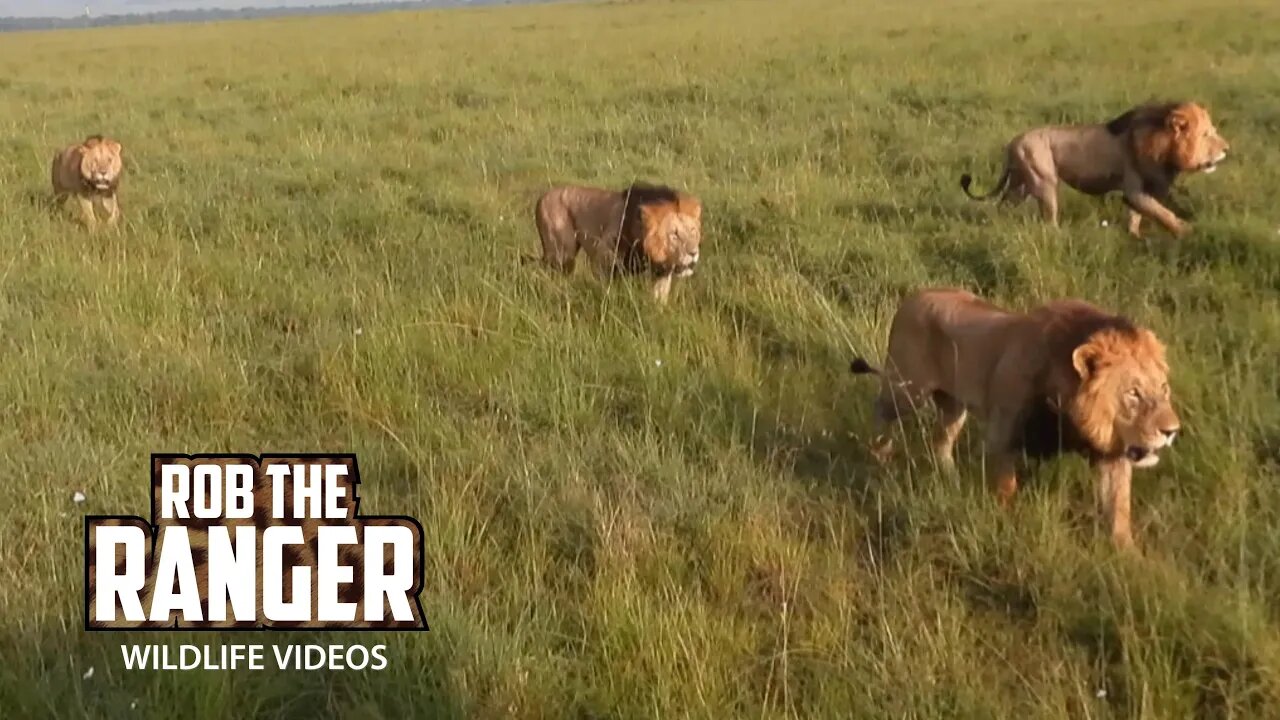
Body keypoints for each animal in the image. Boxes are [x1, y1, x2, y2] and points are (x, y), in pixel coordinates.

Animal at [535, 181, 706, 302]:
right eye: (674, 235)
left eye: (692, 231)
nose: (693, 253)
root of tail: (541, 198)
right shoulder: (603, 256)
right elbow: (607, 287)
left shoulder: (661, 274)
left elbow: (659, 298)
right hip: (562, 253)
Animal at [849, 288, 1177, 545]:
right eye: (1133, 393)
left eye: (1163, 389)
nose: (1172, 431)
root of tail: (912, 298)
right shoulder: (1004, 432)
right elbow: (1007, 487)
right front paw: (1006, 522)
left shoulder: (1110, 454)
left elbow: (1118, 508)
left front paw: (1129, 559)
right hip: (907, 390)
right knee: (881, 409)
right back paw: (879, 454)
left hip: (953, 405)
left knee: (940, 441)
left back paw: (951, 479)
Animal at [962, 99, 1228, 238]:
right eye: (1206, 134)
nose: (1227, 149)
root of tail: (1012, 143)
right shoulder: (1134, 190)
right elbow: (1163, 213)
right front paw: (1187, 231)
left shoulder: (1141, 193)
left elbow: (1137, 216)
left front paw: (1134, 236)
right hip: (1044, 182)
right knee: (1049, 218)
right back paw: (1058, 235)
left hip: (1021, 184)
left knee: (1003, 204)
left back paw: (995, 225)